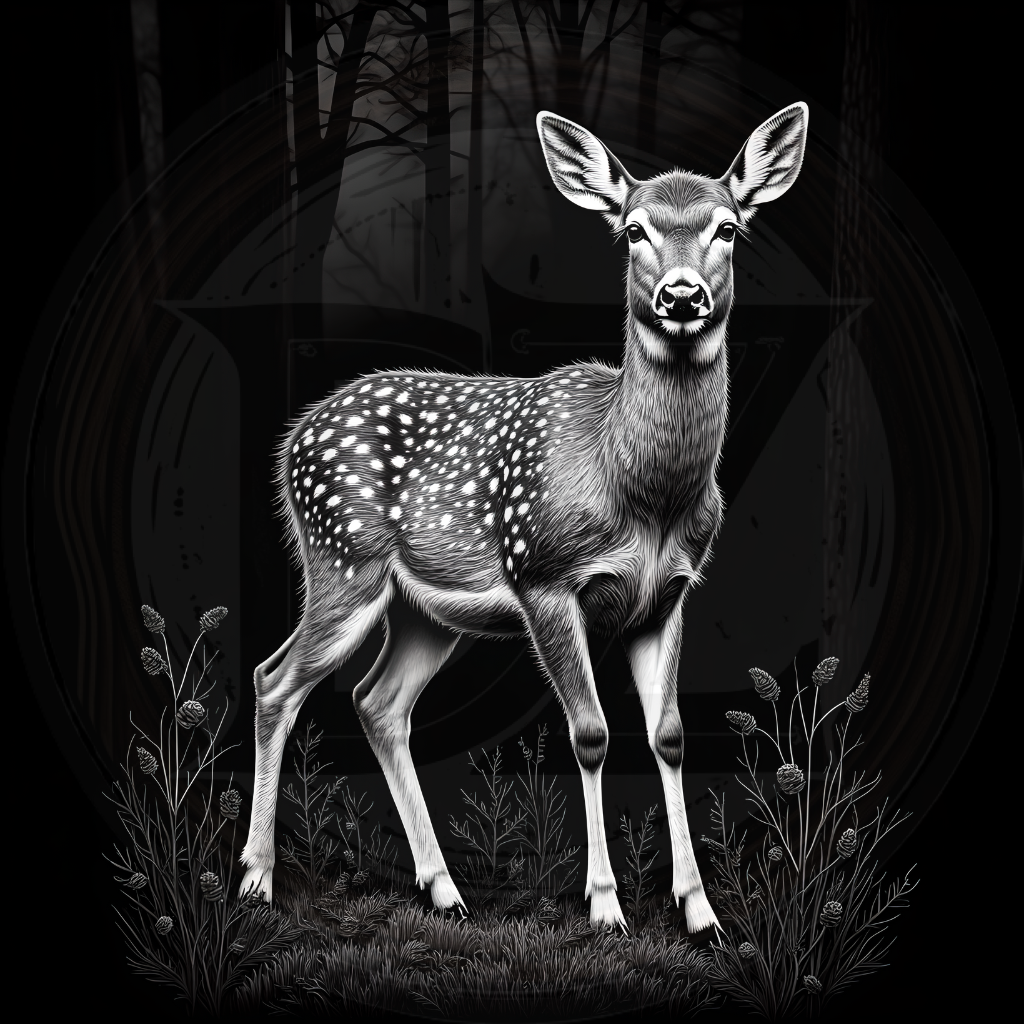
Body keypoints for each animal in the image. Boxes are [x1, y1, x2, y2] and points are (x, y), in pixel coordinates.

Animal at [239, 102, 809, 932]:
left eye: (727, 228)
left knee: (377, 703)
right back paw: (255, 880)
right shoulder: (543, 575)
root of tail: (292, 442)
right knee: (275, 679)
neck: (637, 491)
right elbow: (591, 733)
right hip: (342, 560)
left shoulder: (668, 594)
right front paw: (605, 908)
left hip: (423, 611)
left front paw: (701, 911)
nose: (681, 297)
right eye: (634, 229)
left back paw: (445, 890)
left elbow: (669, 737)